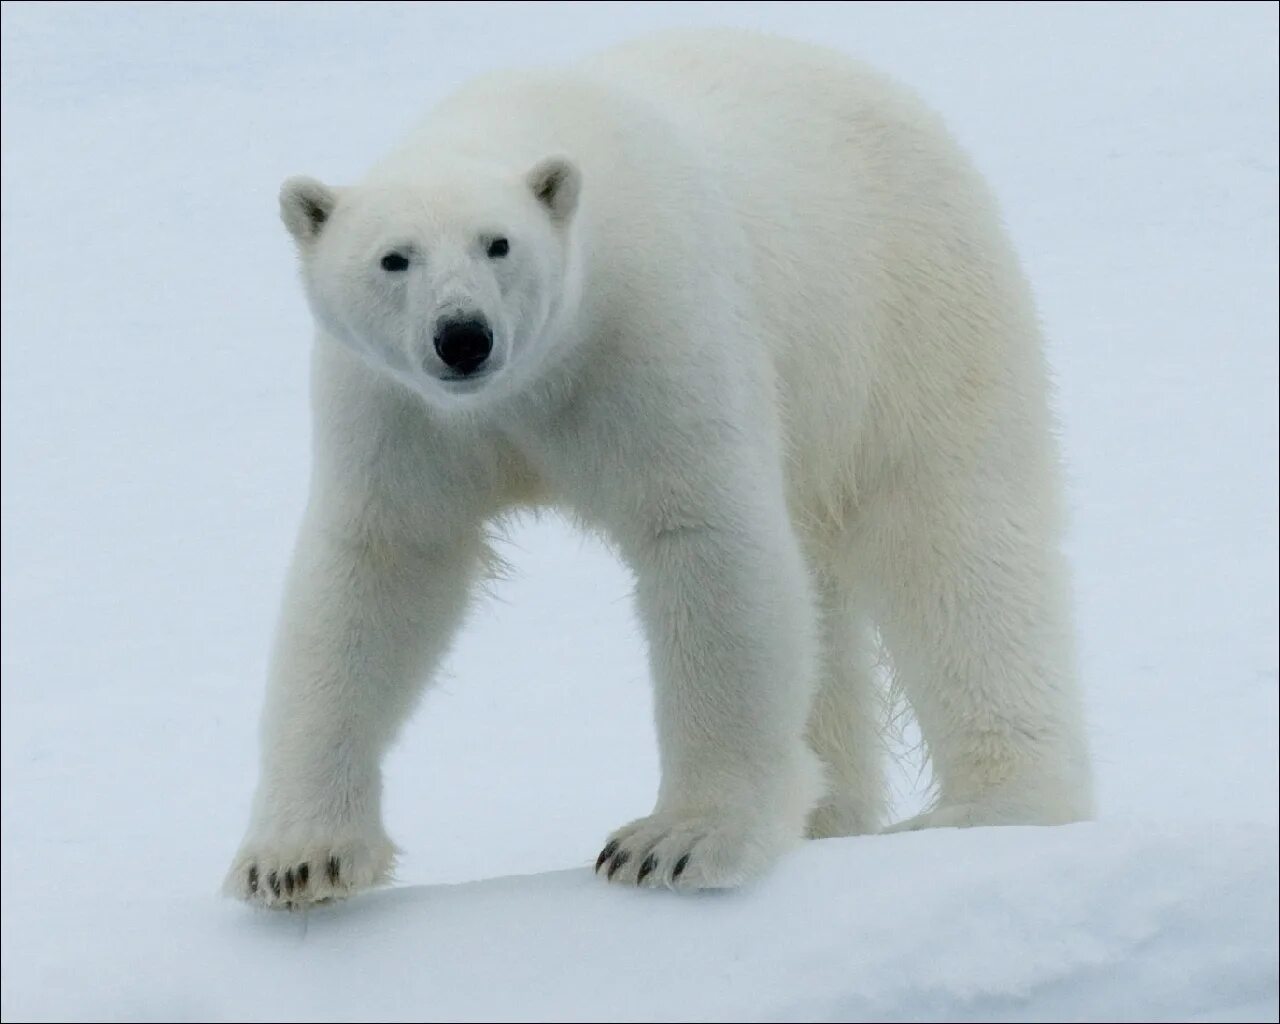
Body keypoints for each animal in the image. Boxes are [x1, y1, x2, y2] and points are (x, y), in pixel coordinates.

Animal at [225, 28, 1095, 906]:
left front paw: (677, 843)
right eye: (393, 259)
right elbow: (379, 572)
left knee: (951, 545)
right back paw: (828, 813)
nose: (463, 336)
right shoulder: (399, 410)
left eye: (498, 243)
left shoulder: (650, 331)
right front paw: (297, 860)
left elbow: (707, 540)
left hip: (908, 317)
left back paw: (991, 806)